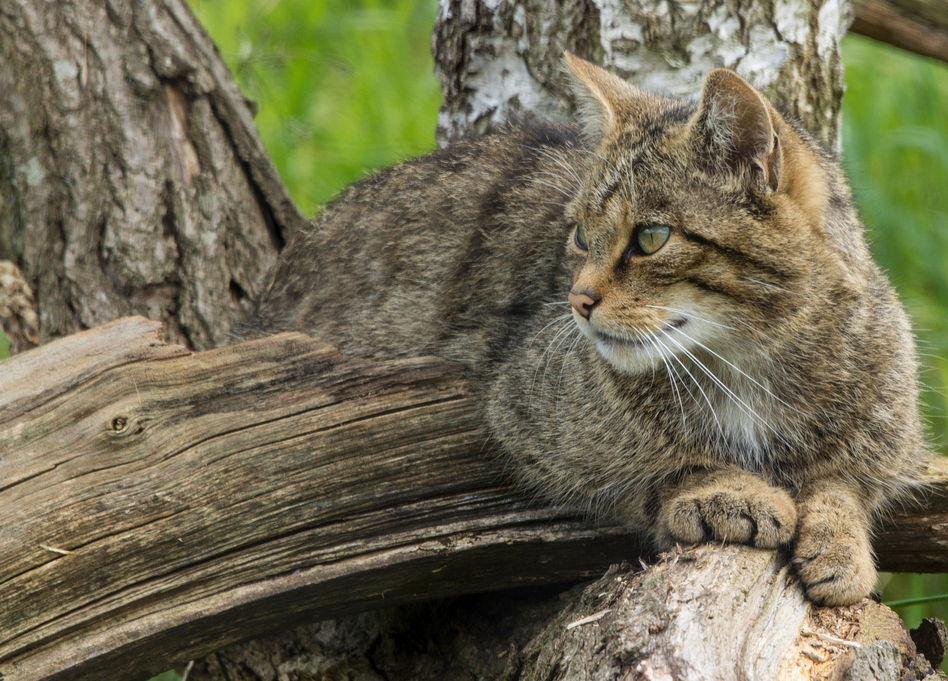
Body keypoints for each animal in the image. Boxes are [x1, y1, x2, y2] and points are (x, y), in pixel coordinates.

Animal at [243, 54, 924, 604]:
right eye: (577, 235)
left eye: (650, 237)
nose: (576, 300)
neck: (744, 362)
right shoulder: (519, 410)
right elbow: (660, 465)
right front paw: (723, 489)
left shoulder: (891, 436)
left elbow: (845, 481)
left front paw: (840, 541)